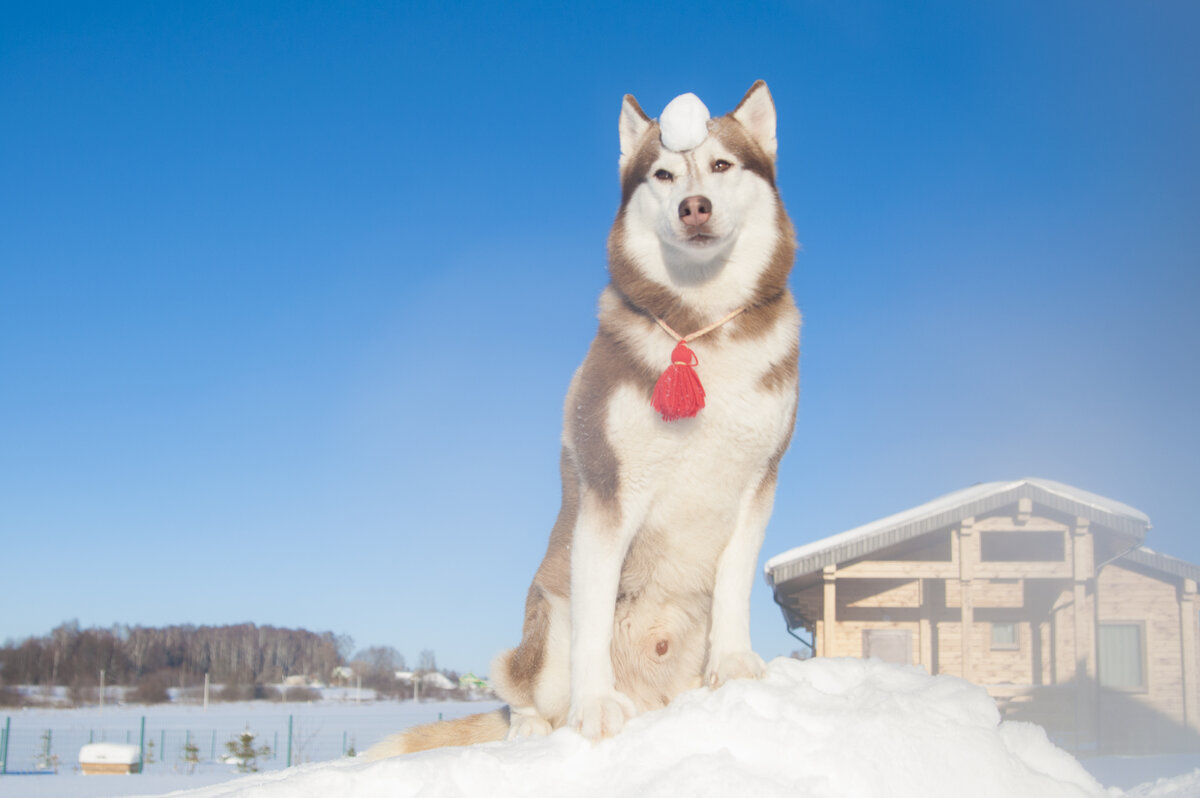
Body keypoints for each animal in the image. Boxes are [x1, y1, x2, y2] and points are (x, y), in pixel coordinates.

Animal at [364, 79, 796, 753]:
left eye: (722, 165)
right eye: (663, 173)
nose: (694, 207)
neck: (699, 329)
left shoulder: (758, 482)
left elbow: (733, 587)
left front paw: (734, 667)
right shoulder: (608, 487)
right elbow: (593, 616)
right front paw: (594, 708)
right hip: (542, 624)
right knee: (519, 690)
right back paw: (535, 726)